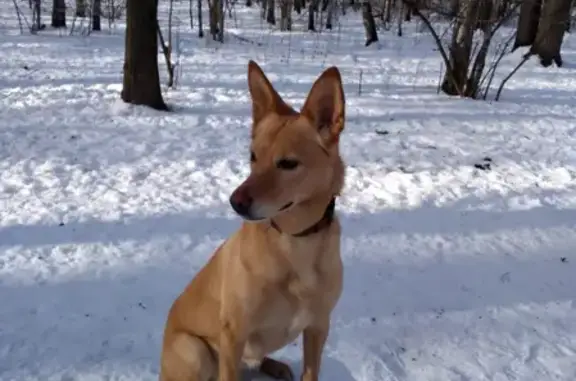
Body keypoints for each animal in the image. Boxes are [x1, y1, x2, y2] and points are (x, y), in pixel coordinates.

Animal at [158, 60, 346, 380]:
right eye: (253, 156)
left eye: (288, 163)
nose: (235, 202)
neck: (295, 243)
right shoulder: (233, 334)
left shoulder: (318, 327)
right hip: (196, 352)